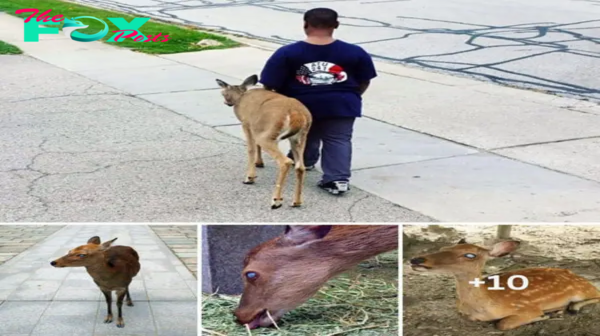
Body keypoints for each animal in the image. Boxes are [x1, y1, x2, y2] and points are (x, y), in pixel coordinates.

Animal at [214, 75, 312, 209]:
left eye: (223, 93)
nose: (226, 102)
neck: (241, 97)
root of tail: (297, 114)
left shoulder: (247, 124)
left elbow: (251, 149)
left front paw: (249, 177)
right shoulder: (257, 129)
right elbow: (256, 146)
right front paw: (259, 163)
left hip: (270, 134)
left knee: (285, 162)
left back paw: (276, 201)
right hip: (299, 138)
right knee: (300, 167)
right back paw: (296, 202)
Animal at [408, 239, 600, 330]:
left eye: (470, 255)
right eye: (443, 248)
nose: (416, 259)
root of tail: (575, 275)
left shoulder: (527, 307)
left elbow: (502, 324)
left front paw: (544, 316)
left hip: (582, 289)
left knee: (596, 295)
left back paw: (569, 308)